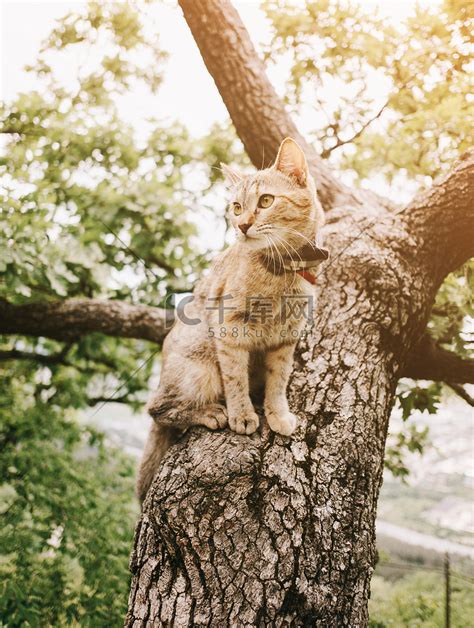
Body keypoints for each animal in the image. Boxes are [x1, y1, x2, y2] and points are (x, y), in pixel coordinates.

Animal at [135, 140, 324, 502]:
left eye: (266, 201)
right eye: (236, 207)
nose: (242, 225)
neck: (282, 270)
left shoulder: (286, 338)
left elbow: (278, 380)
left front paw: (277, 412)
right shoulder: (230, 331)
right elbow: (235, 378)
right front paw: (242, 415)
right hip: (198, 369)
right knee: (158, 408)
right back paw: (209, 412)